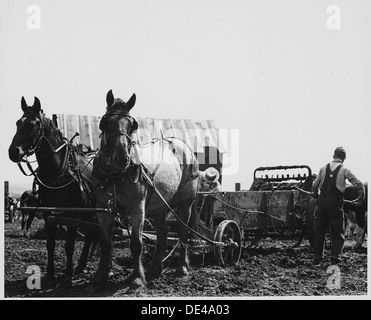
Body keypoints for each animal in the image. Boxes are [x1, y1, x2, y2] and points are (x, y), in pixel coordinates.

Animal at [9, 96, 98, 286]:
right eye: (18, 122)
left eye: (33, 124)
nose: (13, 152)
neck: (59, 170)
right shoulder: (48, 211)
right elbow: (50, 244)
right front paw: (50, 273)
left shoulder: (72, 212)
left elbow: (69, 244)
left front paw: (68, 273)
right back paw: (81, 265)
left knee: (91, 233)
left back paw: (80, 266)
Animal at [90, 89, 201, 290]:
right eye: (105, 122)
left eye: (132, 125)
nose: (121, 158)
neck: (116, 176)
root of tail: (184, 147)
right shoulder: (103, 210)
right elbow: (106, 243)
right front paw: (99, 277)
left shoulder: (137, 210)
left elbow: (136, 244)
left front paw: (137, 278)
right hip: (159, 206)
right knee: (163, 233)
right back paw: (155, 268)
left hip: (185, 203)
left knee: (182, 231)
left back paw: (182, 267)